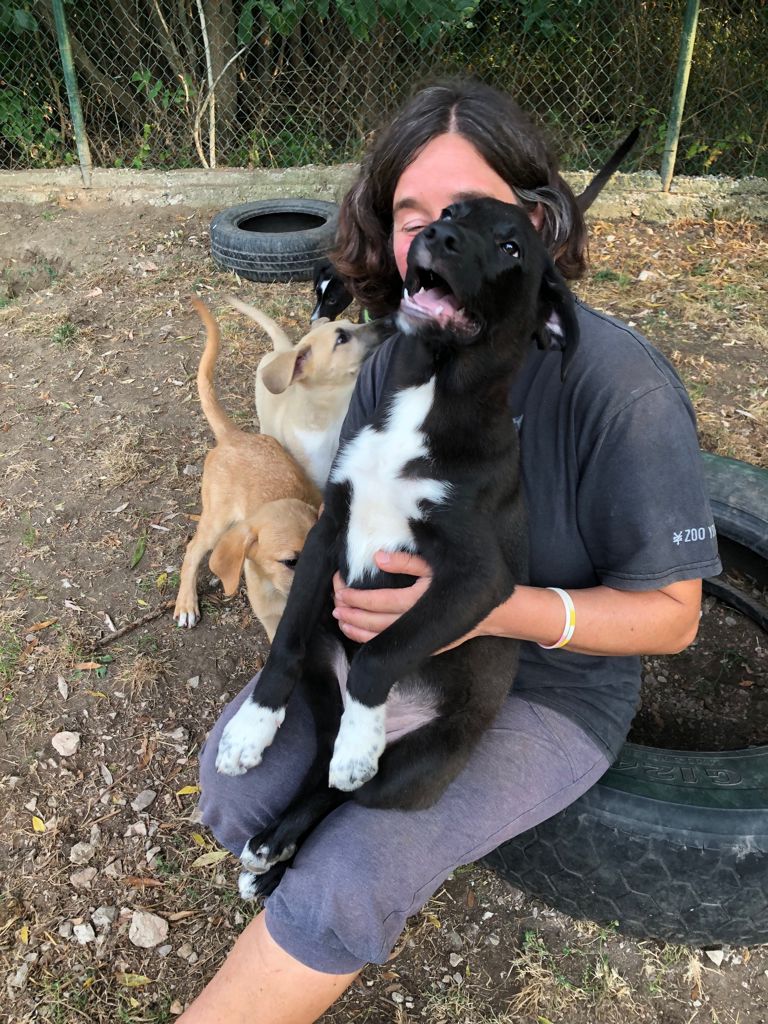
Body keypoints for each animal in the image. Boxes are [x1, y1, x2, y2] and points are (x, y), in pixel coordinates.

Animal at [174, 299, 321, 640]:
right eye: (291, 562)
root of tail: (234, 436)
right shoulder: (274, 624)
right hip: (216, 520)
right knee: (193, 549)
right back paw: (186, 603)